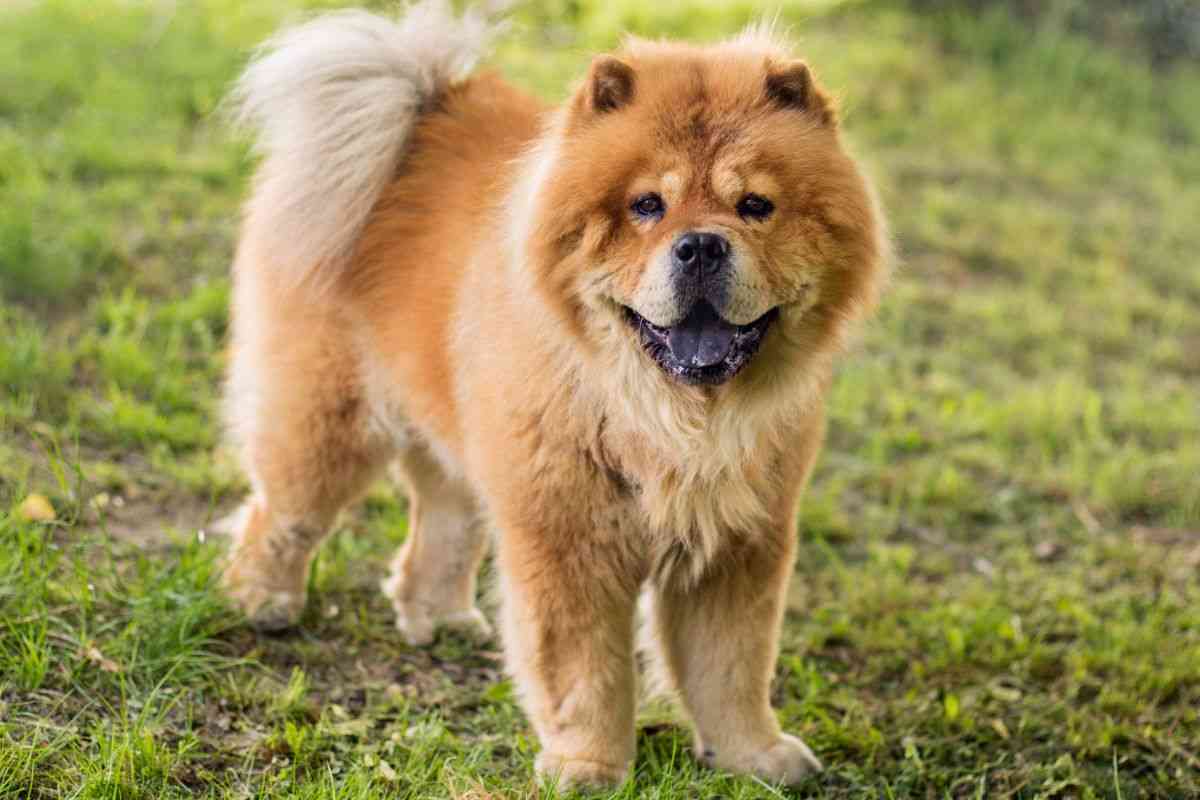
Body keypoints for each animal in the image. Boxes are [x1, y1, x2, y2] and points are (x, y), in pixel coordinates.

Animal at [220, 1, 888, 788]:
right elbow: (583, 669)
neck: (670, 419)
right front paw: (589, 766)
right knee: (282, 512)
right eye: (646, 206)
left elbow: (733, 667)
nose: (700, 244)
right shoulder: (567, 538)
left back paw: (437, 618)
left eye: (756, 205)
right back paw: (262, 600)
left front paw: (754, 755)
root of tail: (419, 103)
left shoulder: (740, 544)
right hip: (329, 422)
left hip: (464, 435)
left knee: (443, 522)